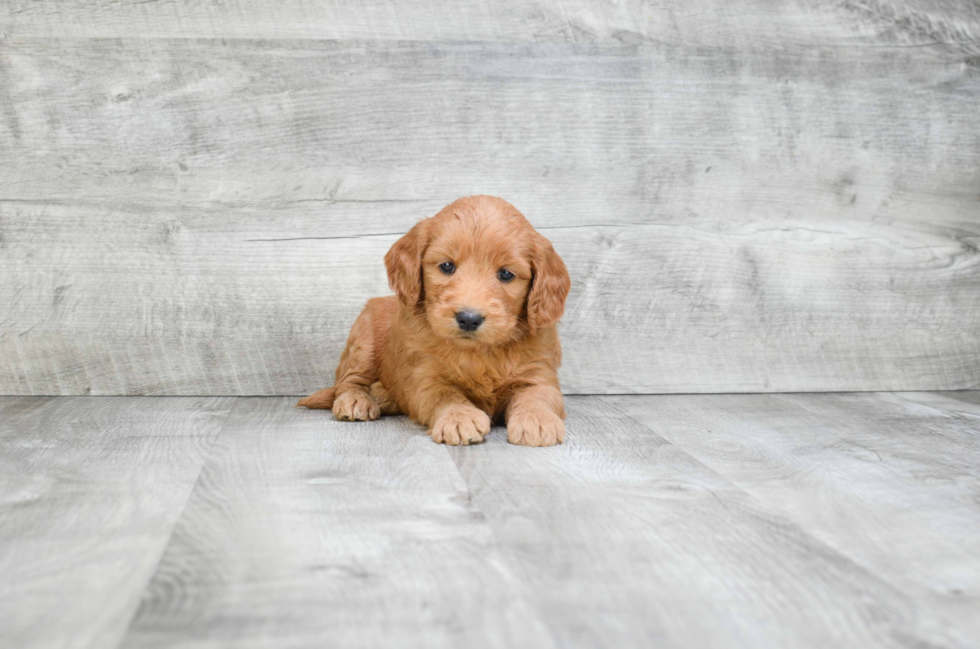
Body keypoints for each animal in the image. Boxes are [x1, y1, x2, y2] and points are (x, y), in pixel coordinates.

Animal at [300, 192, 576, 446]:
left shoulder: (539, 371)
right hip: (363, 339)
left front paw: (537, 419)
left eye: (506, 274)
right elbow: (445, 394)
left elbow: (538, 396)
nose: (468, 318)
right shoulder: (425, 376)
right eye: (446, 266)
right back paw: (357, 399)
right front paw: (459, 417)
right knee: (348, 381)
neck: (478, 353)